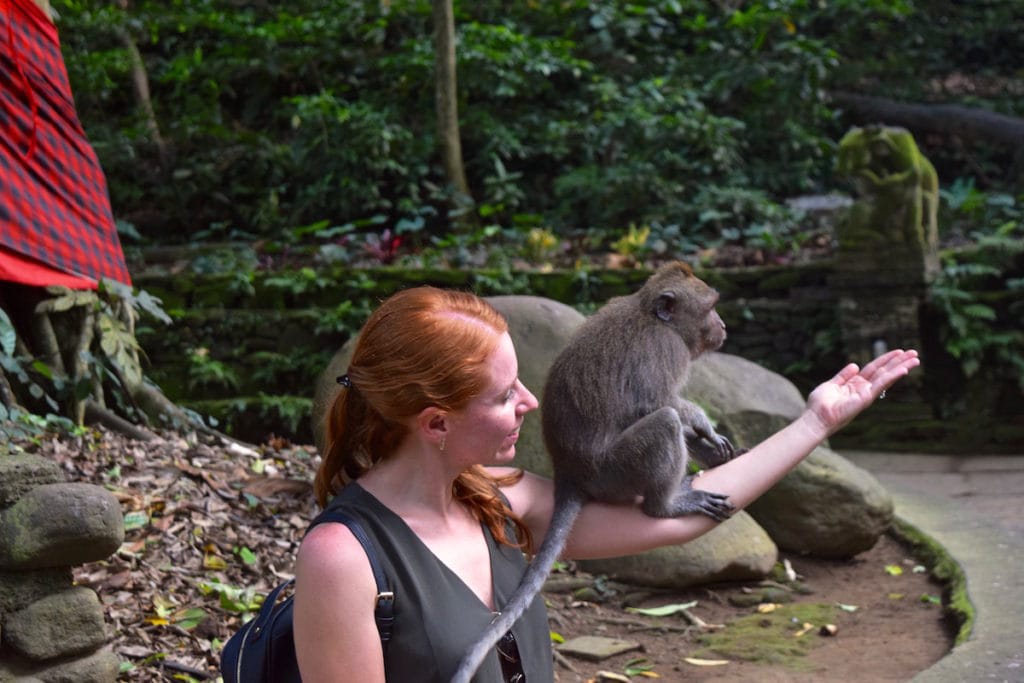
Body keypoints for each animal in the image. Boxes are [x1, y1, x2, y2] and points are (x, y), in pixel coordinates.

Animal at [454, 260, 737, 683]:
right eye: (711, 307)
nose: (723, 325)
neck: (651, 316)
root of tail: (569, 473)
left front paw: (713, 443)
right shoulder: (666, 350)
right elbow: (656, 403)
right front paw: (703, 422)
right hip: (615, 472)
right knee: (664, 422)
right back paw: (666, 504)